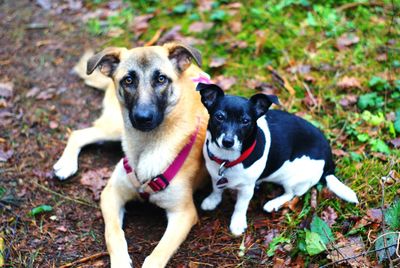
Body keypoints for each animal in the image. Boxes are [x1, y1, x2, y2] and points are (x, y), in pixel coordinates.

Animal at [63, 43, 208, 266]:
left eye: (161, 79)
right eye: (128, 80)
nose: (143, 118)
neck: (146, 146)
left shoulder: (183, 214)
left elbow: (157, 255)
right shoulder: (111, 194)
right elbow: (114, 234)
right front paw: (121, 262)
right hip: (115, 127)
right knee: (78, 134)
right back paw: (65, 165)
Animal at [197, 82, 360, 236]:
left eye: (245, 121)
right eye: (219, 117)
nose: (228, 142)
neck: (227, 160)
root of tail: (328, 162)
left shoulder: (246, 189)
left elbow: (240, 206)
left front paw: (237, 223)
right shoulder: (215, 175)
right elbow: (216, 189)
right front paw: (212, 200)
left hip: (292, 178)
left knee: (293, 194)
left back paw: (273, 203)